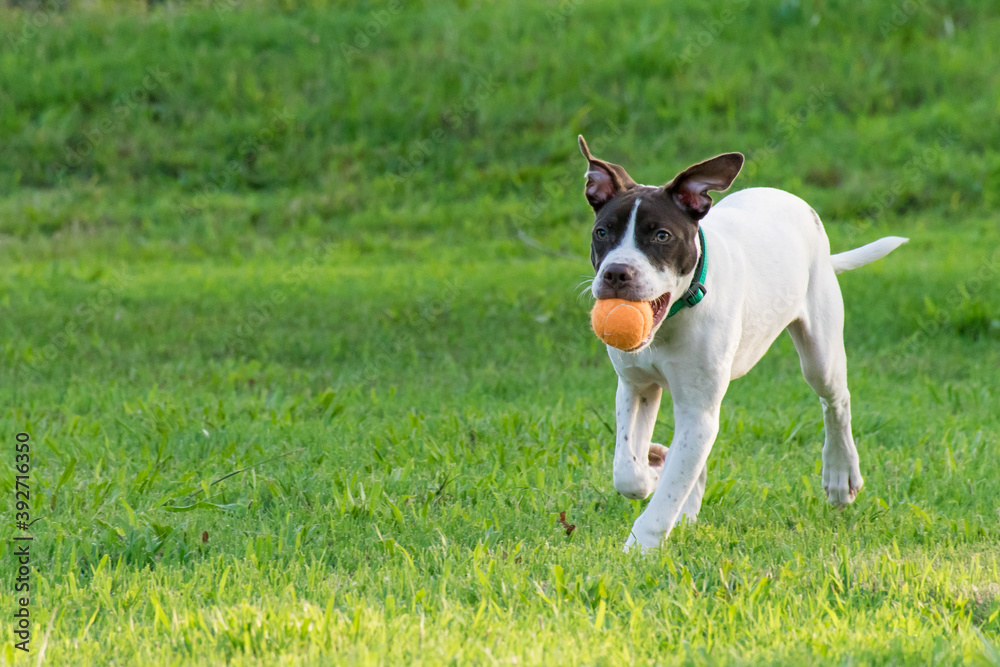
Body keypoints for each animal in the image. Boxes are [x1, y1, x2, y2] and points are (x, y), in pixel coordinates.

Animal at [580, 137, 908, 552]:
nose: (616, 273)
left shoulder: (698, 412)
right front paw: (655, 466)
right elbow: (628, 471)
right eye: (602, 232)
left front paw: (642, 545)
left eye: (661, 236)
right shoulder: (636, 386)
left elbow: (668, 489)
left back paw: (839, 475)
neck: (674, 317)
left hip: (820, 355)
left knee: (836, 402)